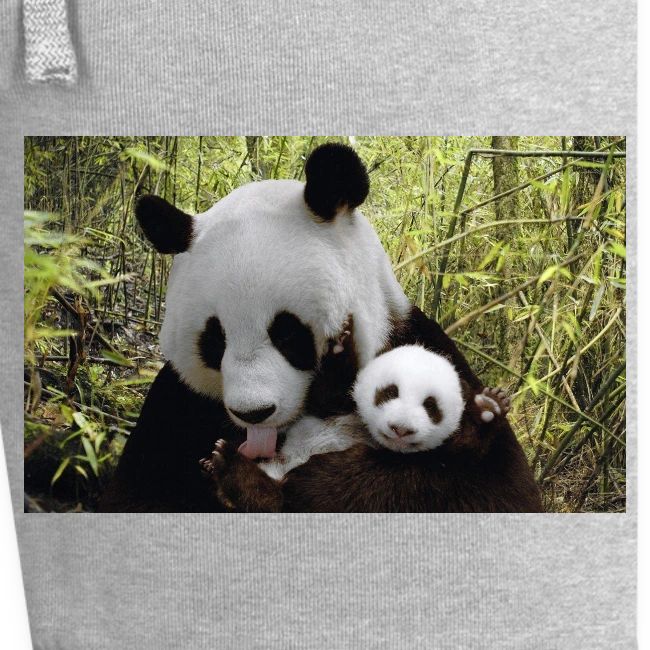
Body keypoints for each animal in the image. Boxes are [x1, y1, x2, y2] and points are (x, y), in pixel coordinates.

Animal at [99, 143, 541, 513]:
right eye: (215, 340)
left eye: (287, 333)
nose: (254, 413)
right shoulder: (178, 405)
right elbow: (138, 493)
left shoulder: (421, 347)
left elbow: (488, 488)